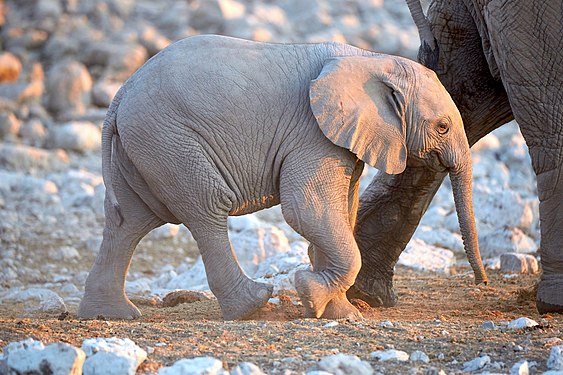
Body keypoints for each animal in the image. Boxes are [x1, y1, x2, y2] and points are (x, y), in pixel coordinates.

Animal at [79, 35, 490, 322]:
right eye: (442, 126)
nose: (482, 283)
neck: (371, 59)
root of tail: (120, 94)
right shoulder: (312, 133)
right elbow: (307, 209)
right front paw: (309, 292)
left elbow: (342, 211)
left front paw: (337, 313)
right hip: (168, 139)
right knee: (206, 207)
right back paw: (252, 306)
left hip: (143, 146)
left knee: (130, 221)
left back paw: (110, 314)